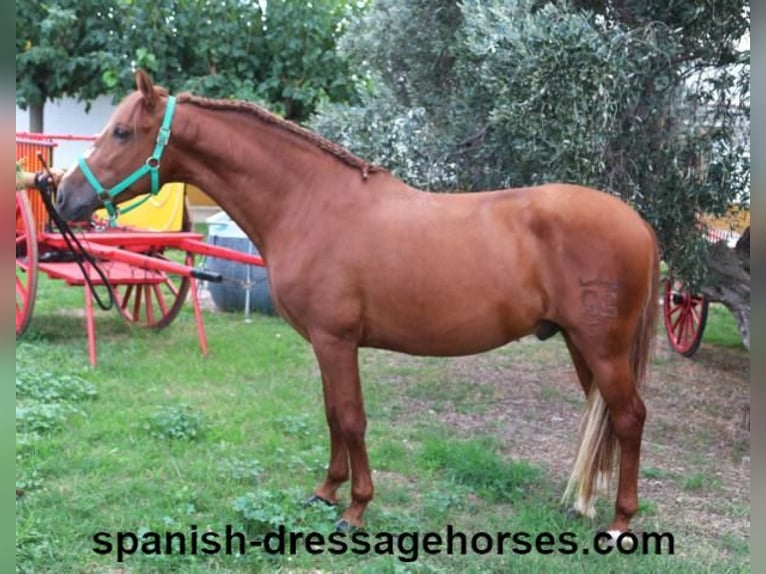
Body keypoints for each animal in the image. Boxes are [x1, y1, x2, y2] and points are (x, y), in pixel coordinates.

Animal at [57, 72, 664, 540]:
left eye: (122, 131)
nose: (63, 196)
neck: (311, 203)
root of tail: (639, 223)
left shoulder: (336, 340)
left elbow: (351, 417)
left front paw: (355, 509)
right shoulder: (325, 345)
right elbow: (332, 415)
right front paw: (326, 491)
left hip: (601, 347)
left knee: (629, 417)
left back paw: (620, 522)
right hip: (581, 345)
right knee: (602, 418)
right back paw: (584, 503)